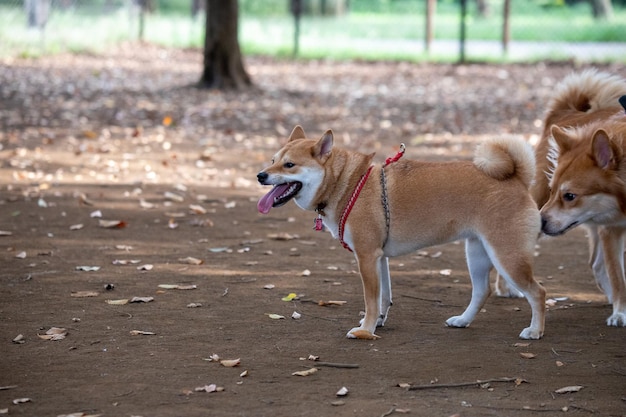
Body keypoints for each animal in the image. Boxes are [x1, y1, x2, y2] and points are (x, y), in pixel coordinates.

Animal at [256, 126, 544, 338]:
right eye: (273, 161)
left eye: (289, 165)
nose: (260, 175)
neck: (347, 184)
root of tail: (517, 179)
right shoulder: (380, 258)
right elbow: (384, 297)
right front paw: (377, 323)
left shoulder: (366, 257)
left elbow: (371, 300)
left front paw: (365, 330)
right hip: (477, 254)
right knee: (482, 291)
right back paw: (463, 320)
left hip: (507, 258)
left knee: (538, 292)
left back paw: (535, 331)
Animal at [532, 70, 624, 326]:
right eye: (553, 190)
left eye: (570, 196)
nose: (539, 221)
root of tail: (567, 112)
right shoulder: (612, 228)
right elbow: (618, 277)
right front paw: (620, 313)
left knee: (597, 264)